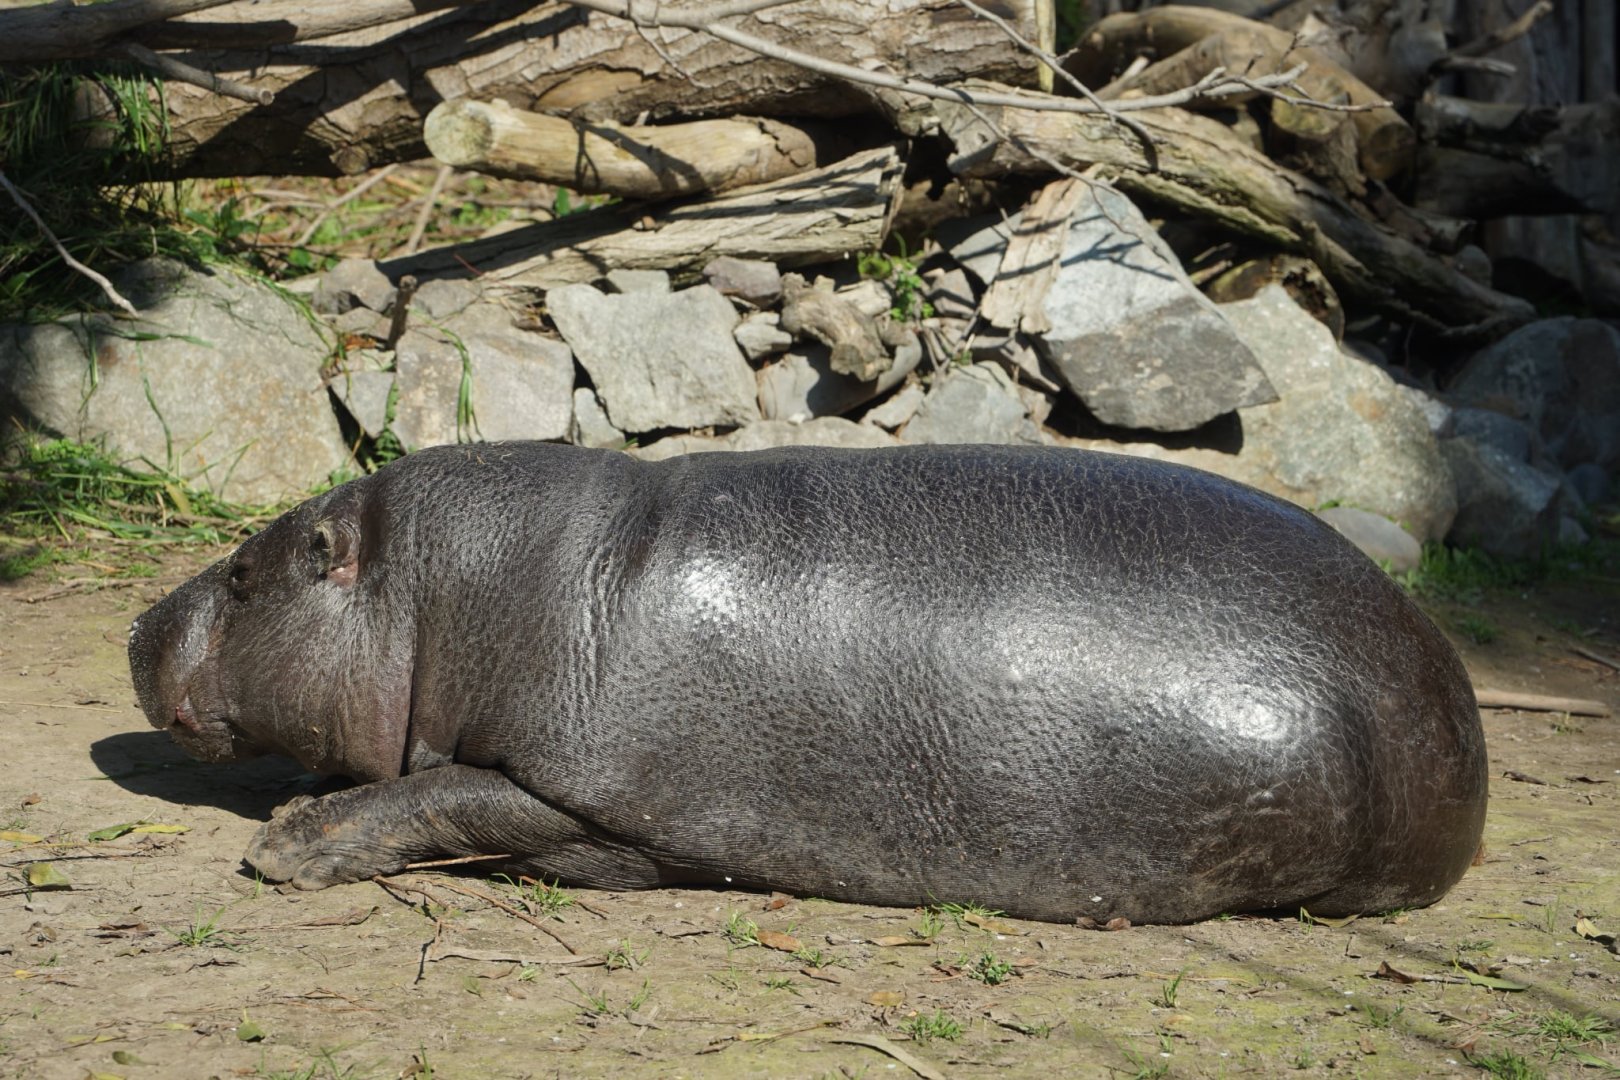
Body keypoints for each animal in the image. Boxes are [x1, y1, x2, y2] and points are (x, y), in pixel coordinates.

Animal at [128, 442, 1486, 924]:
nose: (140, 623)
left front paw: (287, 841)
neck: (440, 588)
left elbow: (436, 794)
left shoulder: (569, 784)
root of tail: (1455, 694)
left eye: (246, 573)